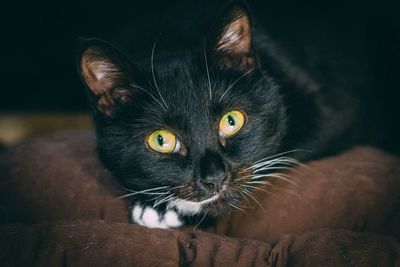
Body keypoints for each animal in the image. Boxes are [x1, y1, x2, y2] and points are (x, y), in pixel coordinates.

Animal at [77, 1, 372, 229]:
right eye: (161, 140)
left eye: (232, 121)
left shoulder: (331, 111)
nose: (215, 178)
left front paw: (161, 210)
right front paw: (155, 206)